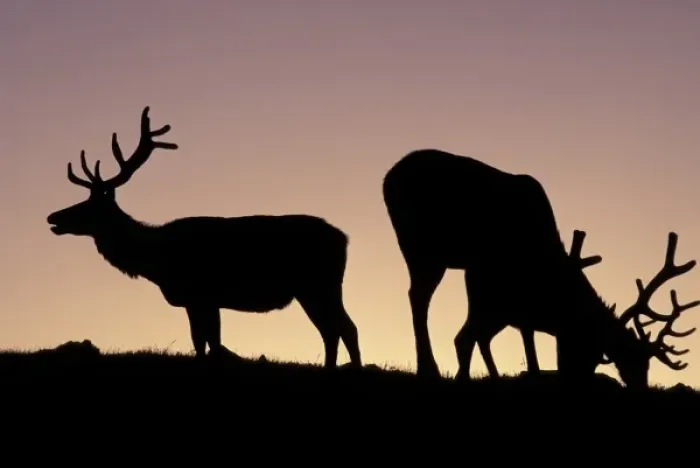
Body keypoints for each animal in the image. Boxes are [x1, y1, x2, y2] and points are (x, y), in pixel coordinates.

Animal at [46, 106, 362, 369]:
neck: (155, 261)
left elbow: (204, 343)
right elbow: (210, 343)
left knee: (344, 327)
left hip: (319, 284)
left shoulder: (200, 294)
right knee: (334, 329)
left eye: (88, 206)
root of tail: (344, 239)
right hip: (317, 288)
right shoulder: (205, 300)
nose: (52, 217)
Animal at [382, 148, 698, 388]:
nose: (640, 386)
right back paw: (429, 369)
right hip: (423, 249)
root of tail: (388, 178)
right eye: (631, 356)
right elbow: (525, 342)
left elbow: (524, 338)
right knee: (420, 300)